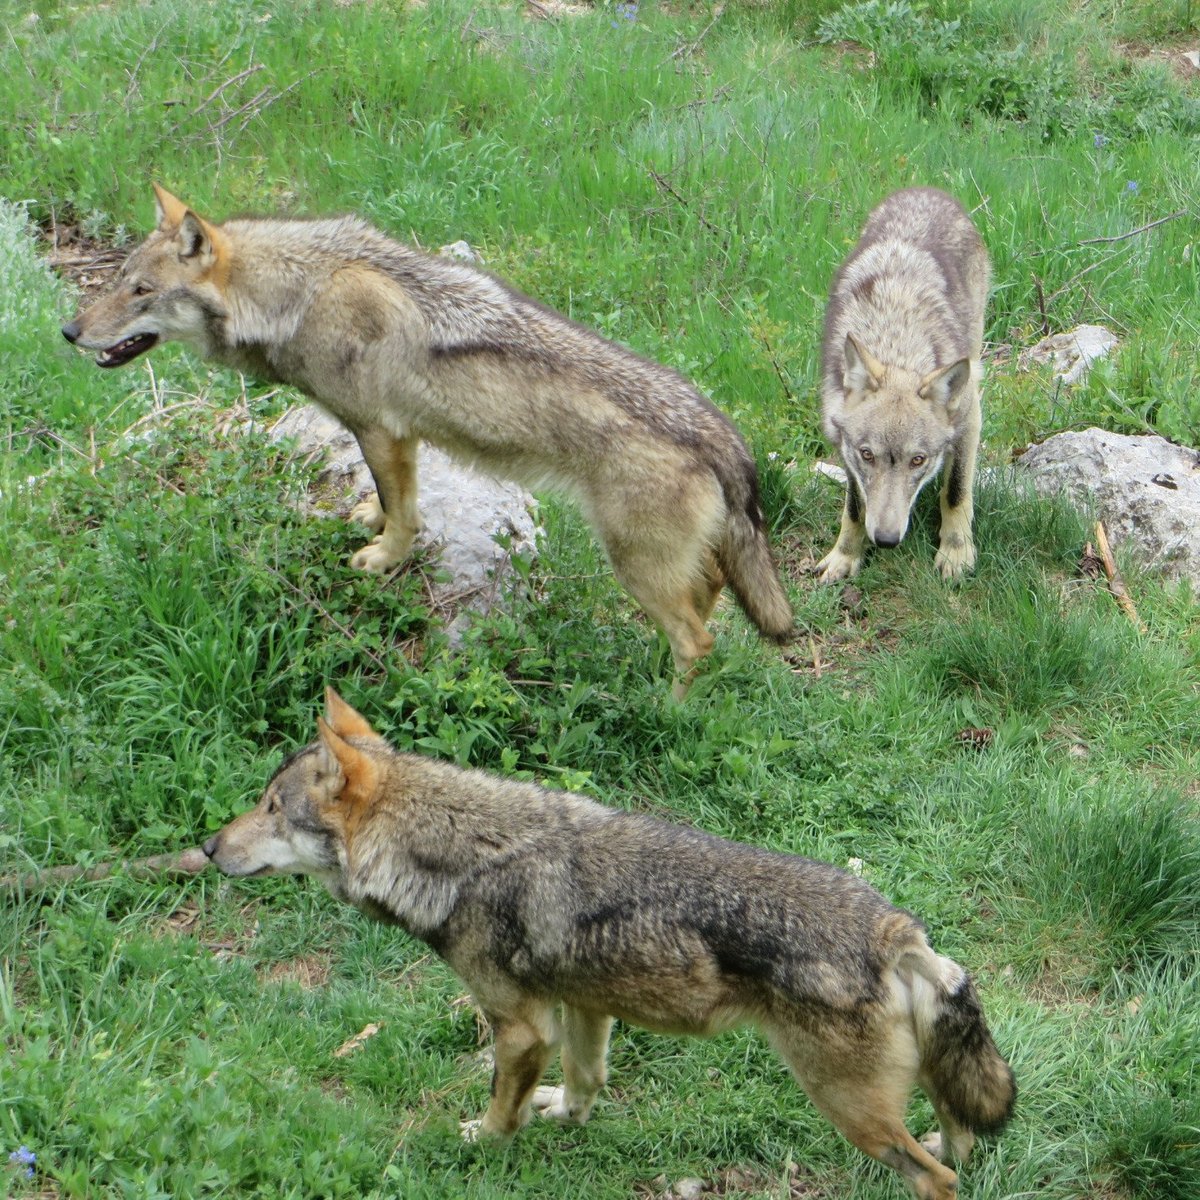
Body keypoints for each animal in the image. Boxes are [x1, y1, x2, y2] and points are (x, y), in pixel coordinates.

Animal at [65, 186, 796, 696]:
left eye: (141, 291)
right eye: (118, 281)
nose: (69, 332)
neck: (299, 292)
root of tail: (724, 436)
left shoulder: (379, 429)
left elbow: (405, 515)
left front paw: (381, 557)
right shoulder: (399, 437)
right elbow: (393, 499)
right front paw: (367, 517)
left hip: (637, 570)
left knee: (698, 643)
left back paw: (663, 708)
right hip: (668, 569)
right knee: (706, 605)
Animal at [204, 686, 1012, 1200]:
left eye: (271, 809)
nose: (208, 847)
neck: (453, 855)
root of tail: (894, 929)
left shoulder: (519, 1027)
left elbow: (500, 1112)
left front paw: (482, 1144)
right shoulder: (586, 1005)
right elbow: (585, 1084)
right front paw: (560, 1115)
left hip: (845, 1107)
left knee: (937, 1177)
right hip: (906, 1092)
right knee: (960, 1142)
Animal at [820, 184, 988, 583]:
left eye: (918, 460)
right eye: (868, 455)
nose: (885, 539)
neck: (895, 342)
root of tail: (926, 190)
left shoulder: (969, 415)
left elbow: (956, 491)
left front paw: (956, 553)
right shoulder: (844, 446)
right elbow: (855, 507)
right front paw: (845, 556)